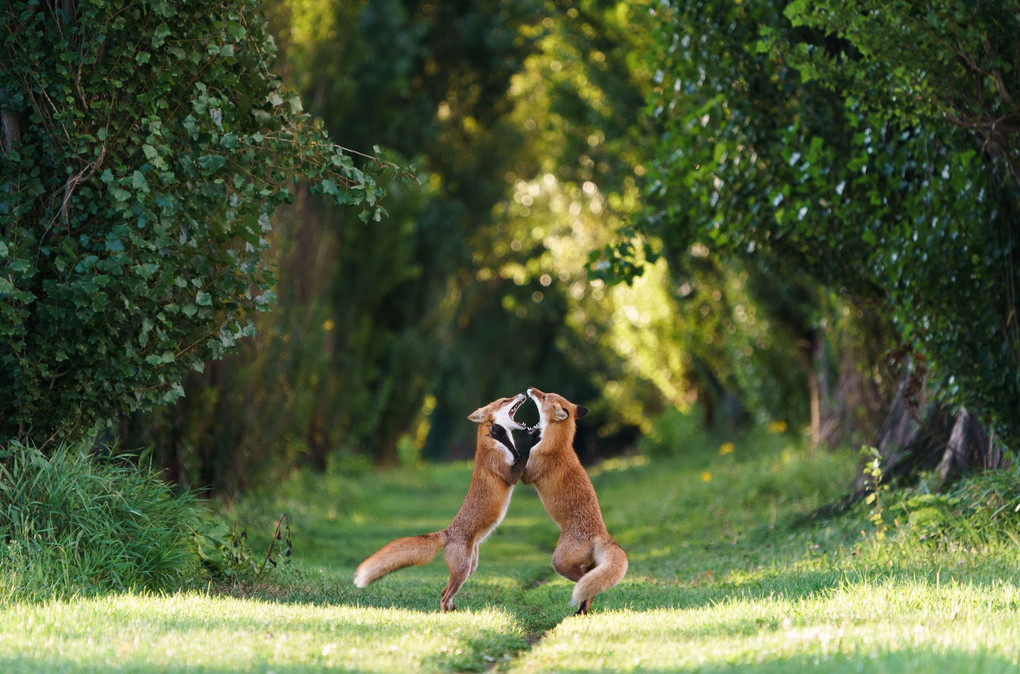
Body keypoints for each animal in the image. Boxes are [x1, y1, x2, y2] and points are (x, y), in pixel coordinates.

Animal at [352, 391, 530, 611]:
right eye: (505, 400)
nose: (522, 393)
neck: (495, 441)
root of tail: (445, 533)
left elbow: (519, 453)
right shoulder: (509, 473)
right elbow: (523, 453)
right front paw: (534, 436)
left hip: (470, 568)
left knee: (444, 592)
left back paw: (454, 610)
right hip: (463, 569)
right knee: (444, 597)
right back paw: (447, 613)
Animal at [522, 385, 624, 611]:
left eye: (543, 397)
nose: (531, 388)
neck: (557, 444)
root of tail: (601, 533)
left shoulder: (527, 474)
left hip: (559, 562)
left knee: (584, 581)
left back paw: (580, 608)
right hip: (589, 565)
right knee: (593, 585)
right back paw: (582, 611)